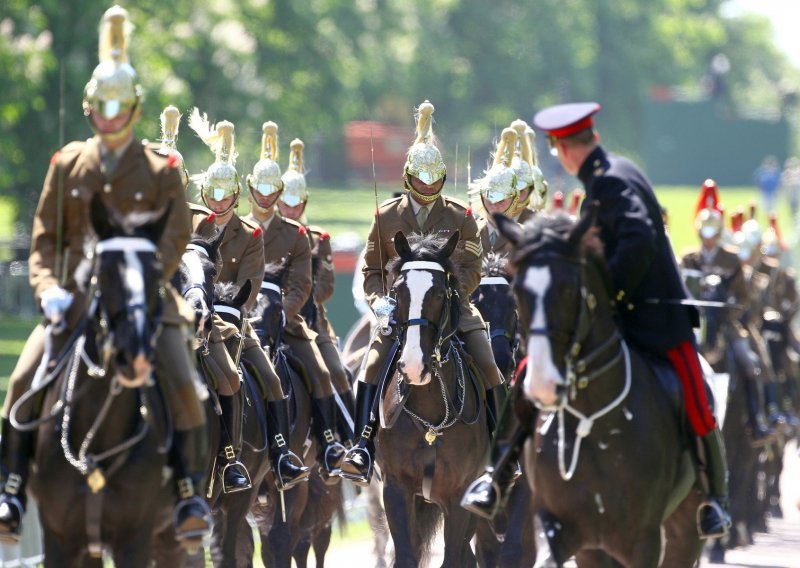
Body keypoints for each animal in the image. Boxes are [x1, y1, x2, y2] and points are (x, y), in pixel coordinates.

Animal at [376, 231, 488, 568]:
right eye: (397, 291)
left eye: (440, 292)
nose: (414, 365)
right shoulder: (395, 489)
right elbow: (405, 556)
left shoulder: (460, 495)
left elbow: (453, 558)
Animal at [494, 212, 700, 568]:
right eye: (518, 291)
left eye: (566, 289)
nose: (542, 385)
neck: (593, 423)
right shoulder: (565, 530)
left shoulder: (643, 540)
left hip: (685, 531)